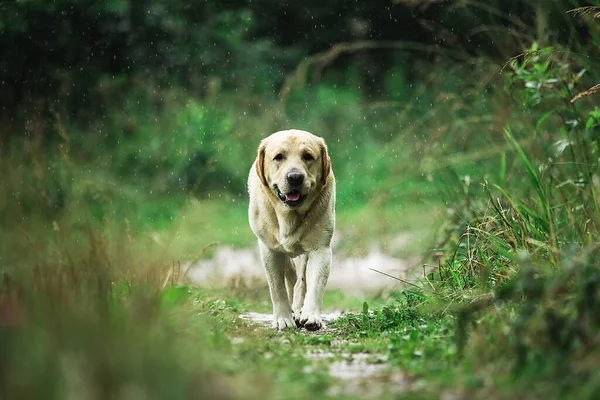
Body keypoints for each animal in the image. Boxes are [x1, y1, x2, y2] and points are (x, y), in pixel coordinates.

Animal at [247, 130, 336, 330]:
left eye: (308, 156)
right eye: (279, 156)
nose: (295, 177)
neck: (289, 215)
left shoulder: (320, 249)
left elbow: (315, 284)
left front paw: (311, 316)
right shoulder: (269, 250)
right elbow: (276, 287)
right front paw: (283, 319)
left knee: (301, 281)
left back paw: (299, 309)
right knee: (290, 275)